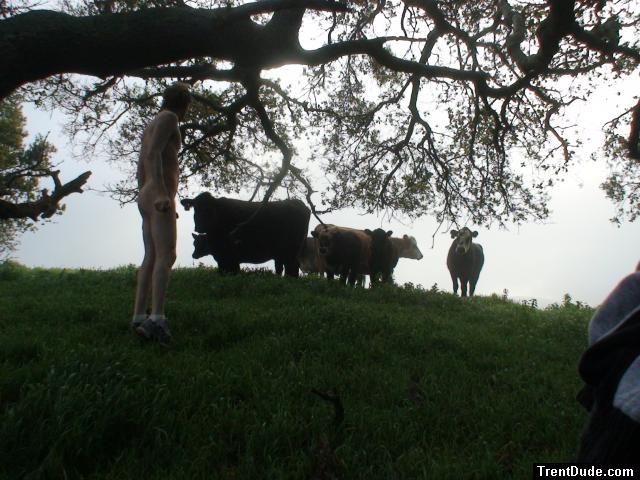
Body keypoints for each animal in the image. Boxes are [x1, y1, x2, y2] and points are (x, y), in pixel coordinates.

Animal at [181, 193, 310, 276]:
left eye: (208, 209)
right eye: (195, 208)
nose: (198, 227)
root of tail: (298, 202)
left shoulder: (230, 255)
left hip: (291, 249)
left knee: (292, 267)